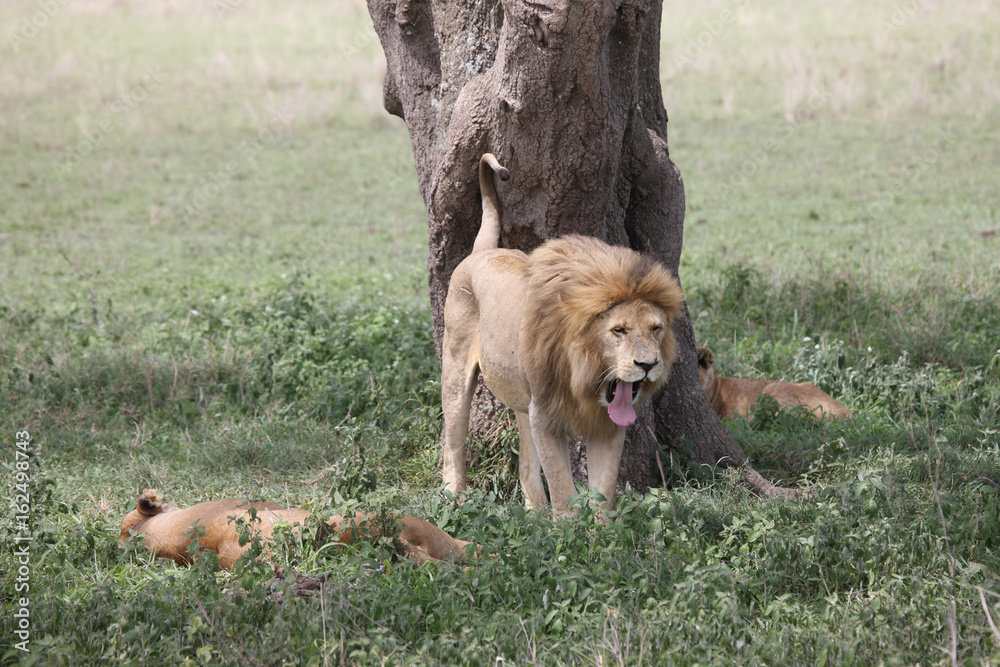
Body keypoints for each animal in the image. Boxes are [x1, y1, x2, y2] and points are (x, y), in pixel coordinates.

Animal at [441, 154, 685, 517]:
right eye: (619, 330)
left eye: (656, 328)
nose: (648, 364)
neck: (585, 370)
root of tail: (480, 253)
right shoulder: (545, 416)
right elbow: (562, 489)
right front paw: (567, 532)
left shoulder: (608, 426)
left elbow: (603, 492)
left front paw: (601, 531)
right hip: (456, 375)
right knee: (452, 443)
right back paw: (452, 502)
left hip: (521, 398)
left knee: (526, 465)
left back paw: (535, 516)